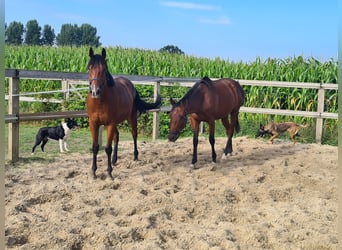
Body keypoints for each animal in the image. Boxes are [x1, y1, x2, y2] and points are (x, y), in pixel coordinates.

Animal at [85, 47, 160, 179]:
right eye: (89, 68)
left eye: (104, 69)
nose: (95, 91)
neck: (99, 102)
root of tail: (131, 85)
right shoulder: (93, 124)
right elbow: (95, 147)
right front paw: (93, 171)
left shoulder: (110, 123)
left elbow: (108, 148)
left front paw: (109, 172)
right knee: (117, 136)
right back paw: (114, 160)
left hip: (131, 118)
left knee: (134, 134)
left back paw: (135, 156)